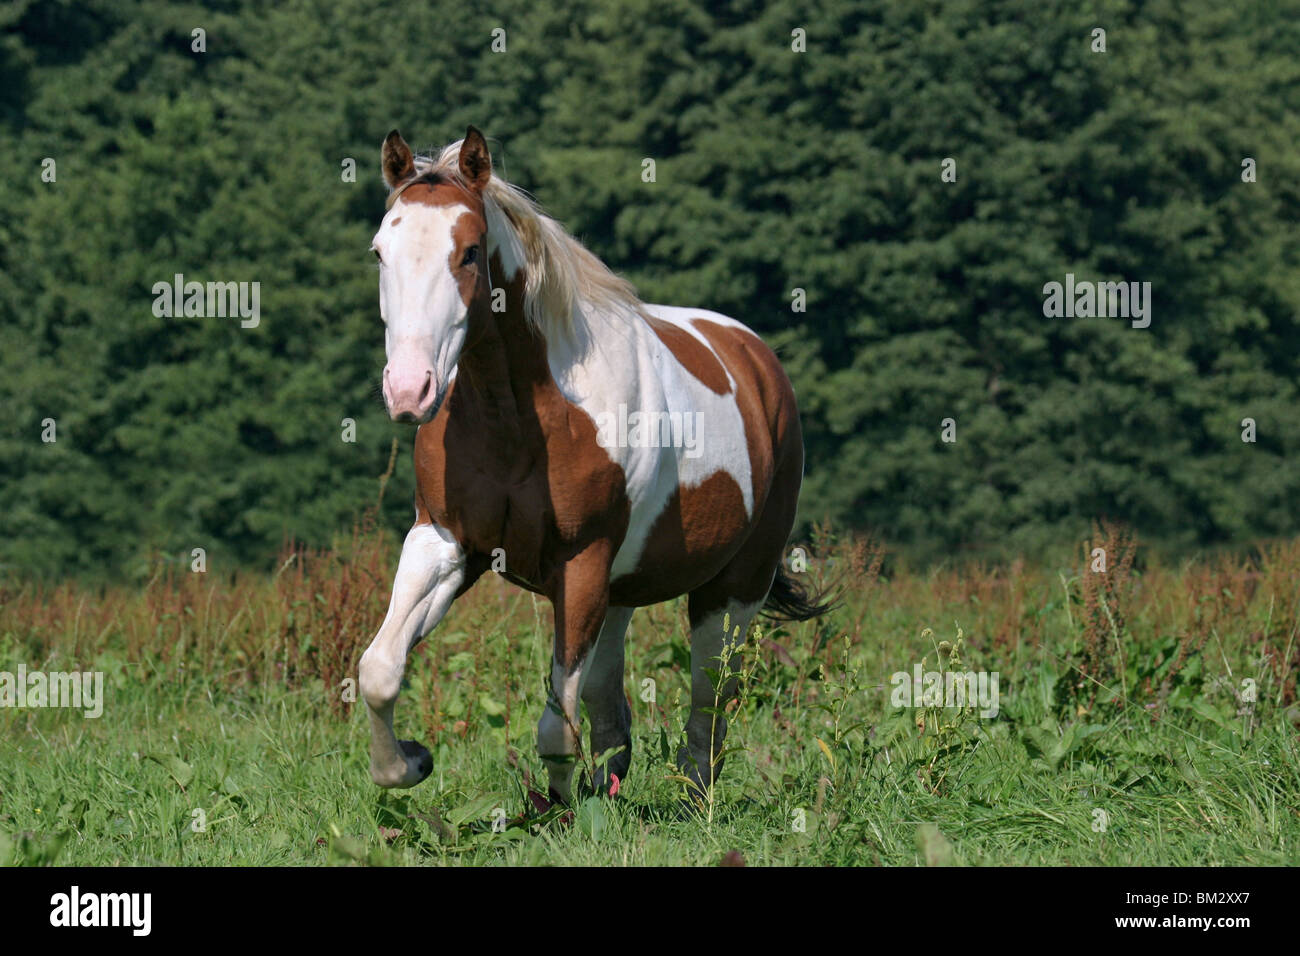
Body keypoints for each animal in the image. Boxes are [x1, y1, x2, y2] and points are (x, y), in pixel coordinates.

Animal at [356, 125, 826, 801]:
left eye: (469, 252)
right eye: (379, 252)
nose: (409, 390)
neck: (522, 419)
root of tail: (758, 359)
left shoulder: (579, 566)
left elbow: (557, 726)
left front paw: (558, 809)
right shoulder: (444, 544)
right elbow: (379, 670)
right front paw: (409, 764)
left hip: (734, 588)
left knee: (709, 705)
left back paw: (694, 800)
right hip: (620, 593)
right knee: (611, 704)